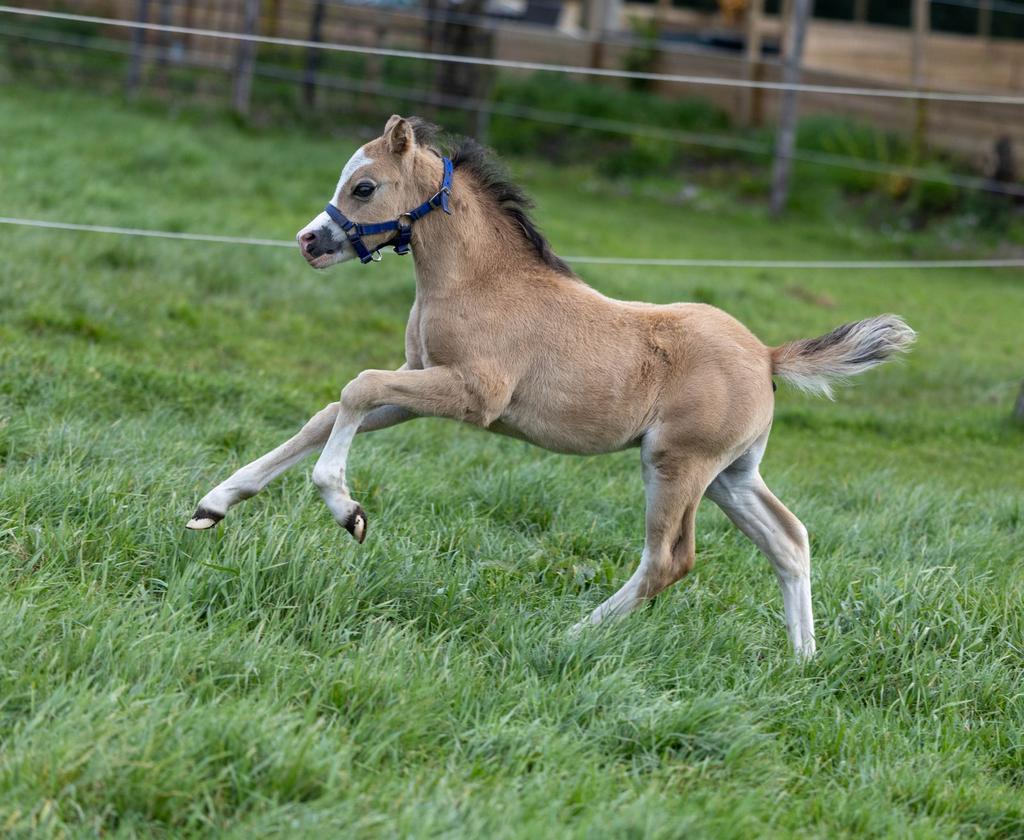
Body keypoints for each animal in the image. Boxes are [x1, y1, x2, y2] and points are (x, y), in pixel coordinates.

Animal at [187, 115, 915, 657]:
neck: (478, 279)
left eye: (364, 187)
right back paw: (802, 660)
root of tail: (766, 356)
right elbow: (332, 409)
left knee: (670, 559)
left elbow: (357, 387)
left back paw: (572, 636)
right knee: (789, 541)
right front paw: (213, 505)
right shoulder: (420, 384)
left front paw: (348, 511)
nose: (310, 241)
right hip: (731, 475)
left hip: (676, 464)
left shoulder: (472, 395)